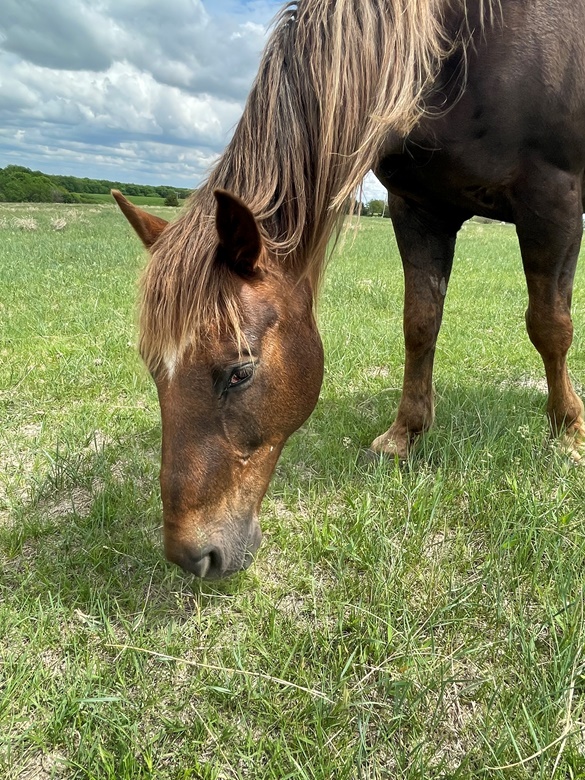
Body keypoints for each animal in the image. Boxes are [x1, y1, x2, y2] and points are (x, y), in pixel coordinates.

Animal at [113, 0, 584, 580]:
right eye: (153, 369)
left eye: (240, 372)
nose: (191, 556)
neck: (460, 49)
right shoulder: (417, 208)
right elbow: (420, 323)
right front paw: (404, 435)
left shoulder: (553, 200)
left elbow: (549, 326)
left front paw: (568, 432)